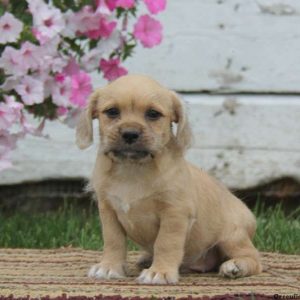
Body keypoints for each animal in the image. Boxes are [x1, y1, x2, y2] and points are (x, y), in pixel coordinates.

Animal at [76, 74, 262, 284]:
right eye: (112, 111)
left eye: (153, 114)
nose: (130, 134)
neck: (133, 169)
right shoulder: (108, 211)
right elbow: (113, 241)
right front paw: (109, 267)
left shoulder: (174, 214)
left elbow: (165, 243)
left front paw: (160, 272)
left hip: (232, 236)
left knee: (254, 258)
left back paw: (236, 266)